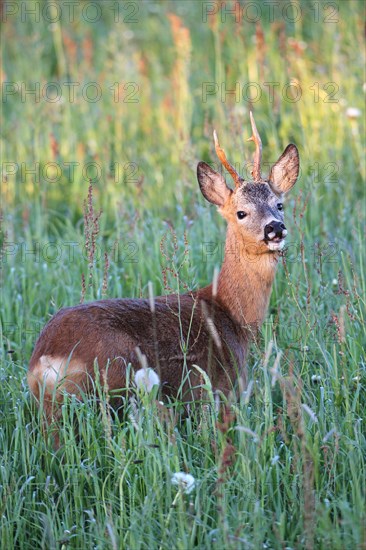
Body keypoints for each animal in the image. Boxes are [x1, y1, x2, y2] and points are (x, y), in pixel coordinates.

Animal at [27, 112, 298, 444]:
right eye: (241, 213)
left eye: (279, 204)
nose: (275, 228)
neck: (232, 314)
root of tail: (44, 360)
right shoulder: (220, 389)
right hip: (124, 376)